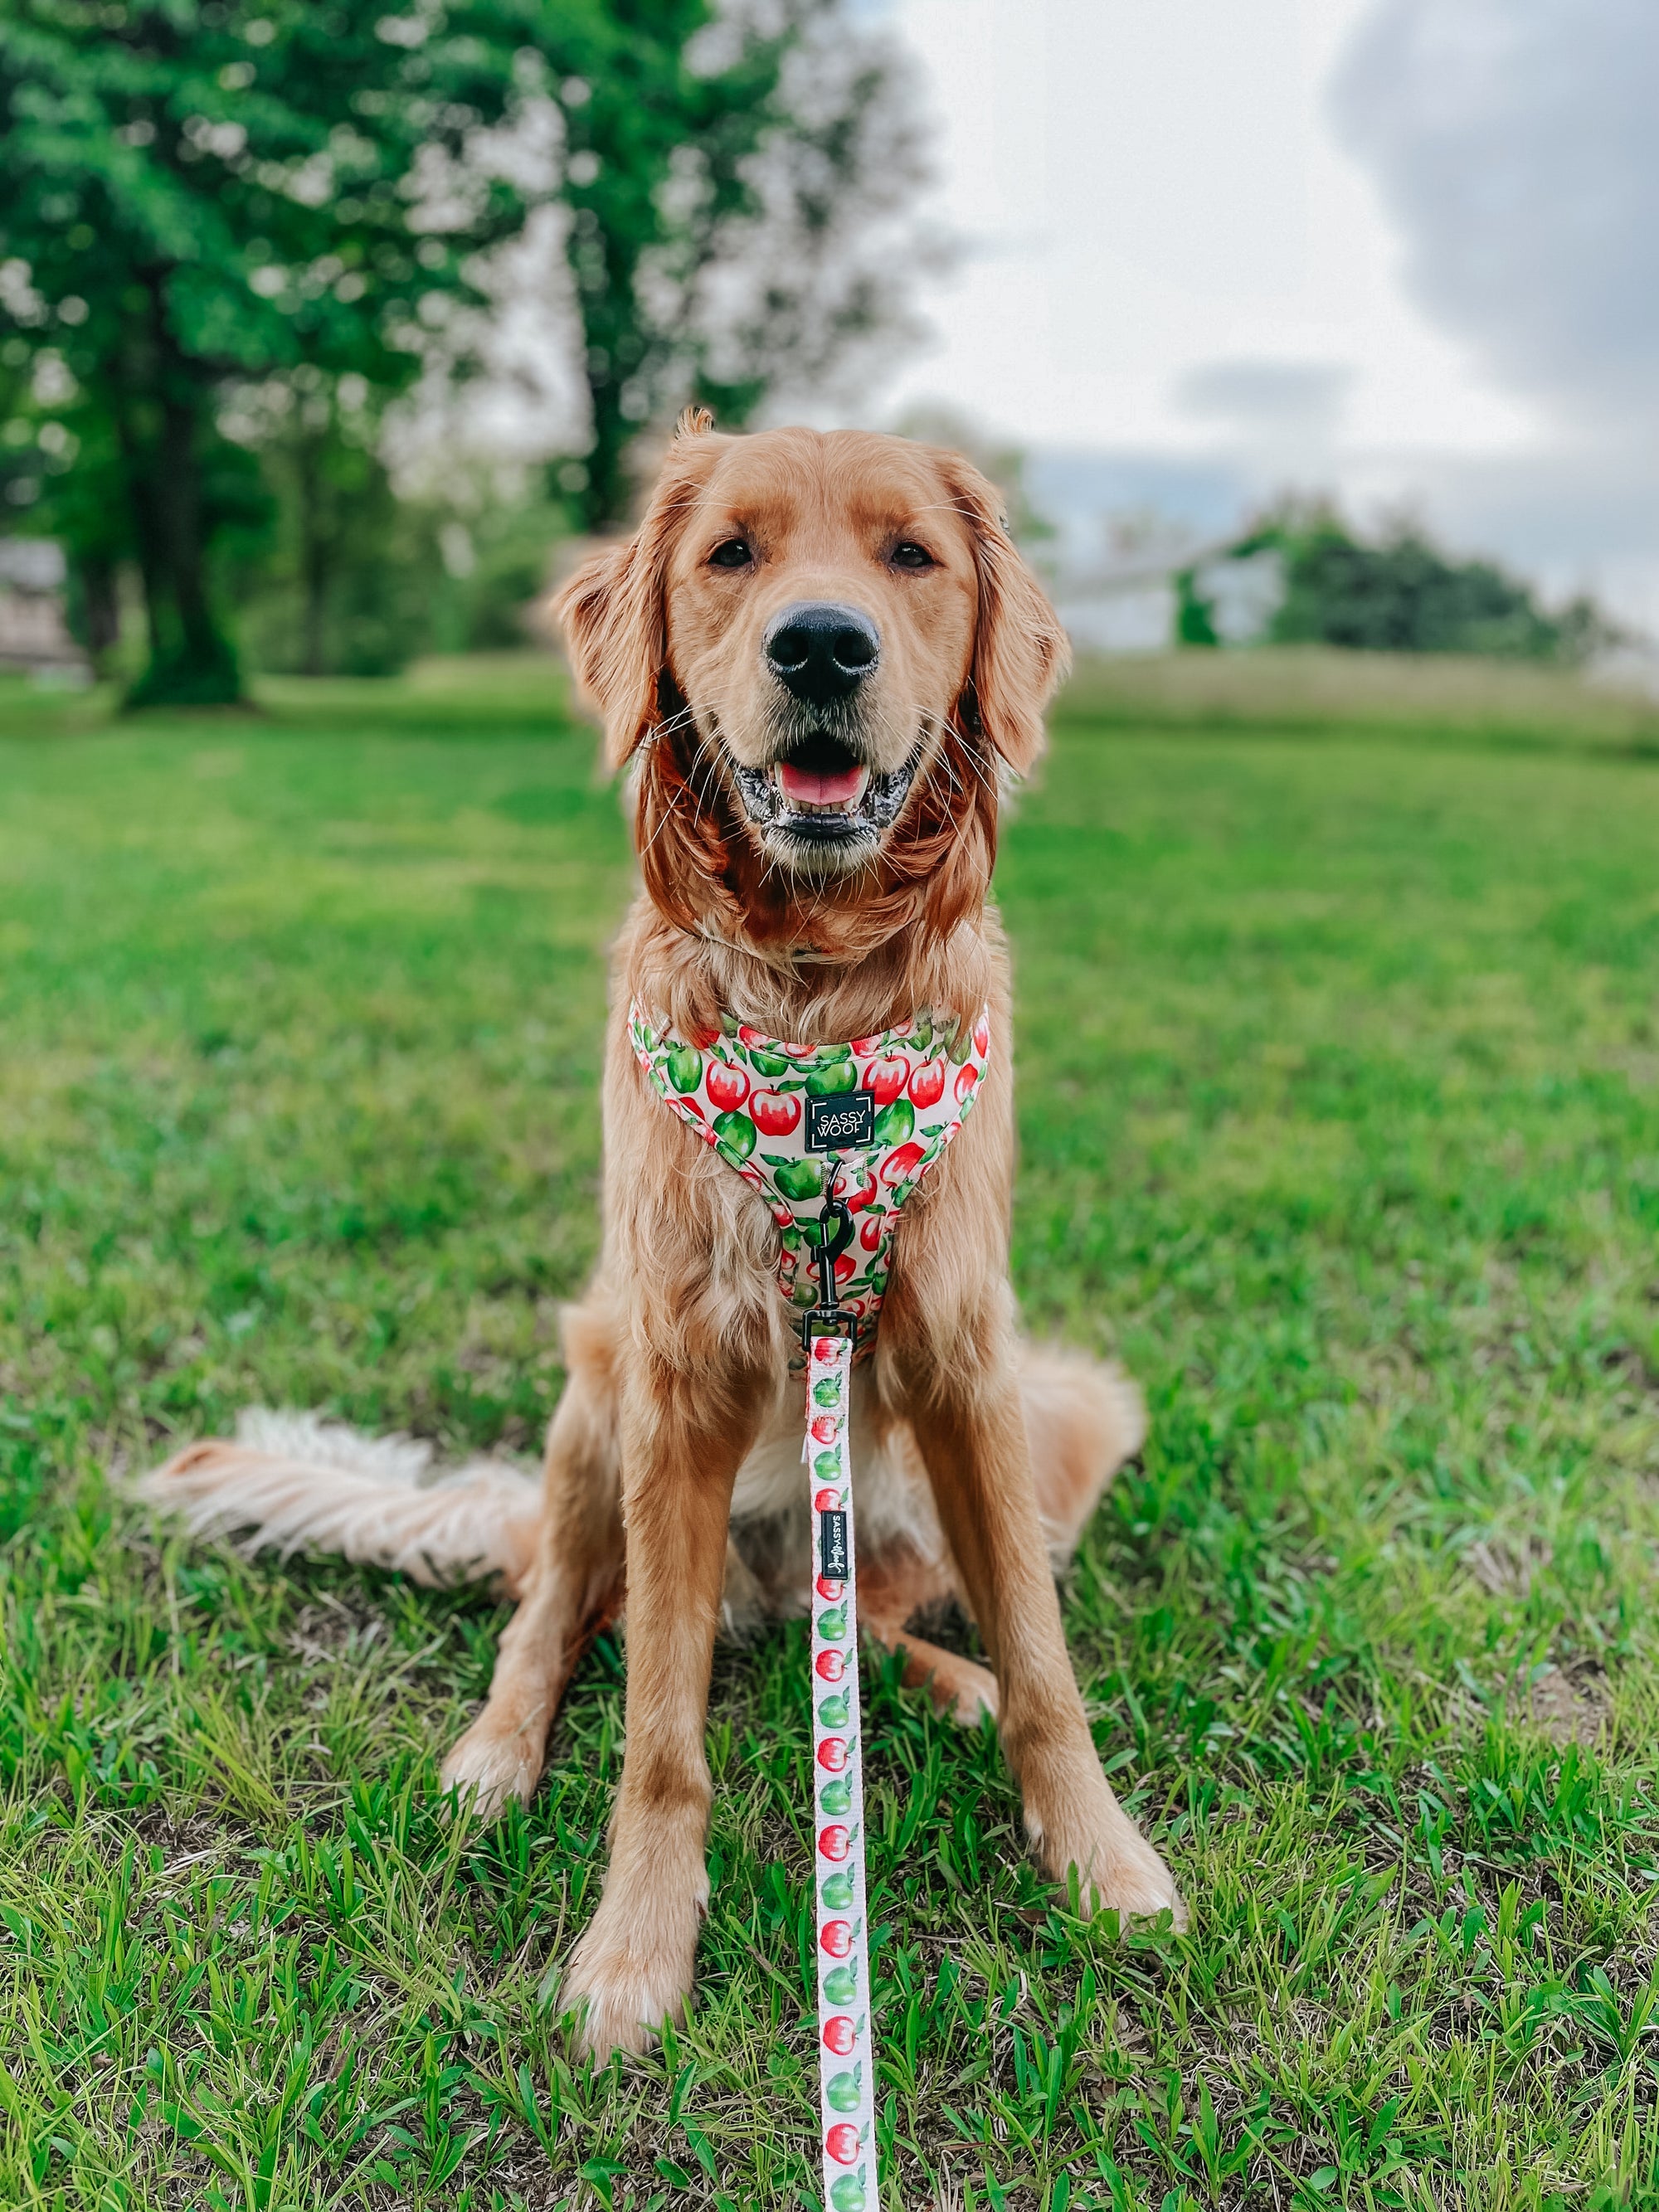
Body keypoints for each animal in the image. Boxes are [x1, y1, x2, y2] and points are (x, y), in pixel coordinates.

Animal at [143, 411, 1185, 2052]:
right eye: (729, 554)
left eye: (911, 555)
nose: (820, 644)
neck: (818, 1024)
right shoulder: (677, 1376)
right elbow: (657, 1736)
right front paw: (634, 1948)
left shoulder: (971, 1361)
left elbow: (1043, 1652)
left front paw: (1096, 1848)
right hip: (596, 1386)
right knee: (561, 1613)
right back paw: (495, 1751)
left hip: (1060, 1414)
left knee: (874, 1623)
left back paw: (936, 1680)